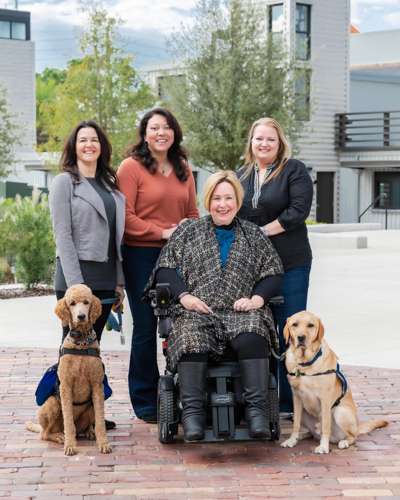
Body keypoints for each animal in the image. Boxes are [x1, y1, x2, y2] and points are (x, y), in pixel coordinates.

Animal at [26, 284, 112, 456]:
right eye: (72, 303)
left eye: (86, 302)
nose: (81, 316)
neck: (81, 343)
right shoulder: (65, 386)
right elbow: (68, 421)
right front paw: (70, 445)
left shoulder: (97, 386)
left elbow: (100, 422)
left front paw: (103, 443)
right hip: (51, 403)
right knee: (45, 433)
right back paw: (59, 436)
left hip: (90, 407)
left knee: (85, 426)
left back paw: (89, 432)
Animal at [280, 311, 388, 454]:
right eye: (294, 325)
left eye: (310, 325)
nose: (301, 337)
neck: (305, 364)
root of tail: (357, 426)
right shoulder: (296, 397)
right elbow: (296, 424)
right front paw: (292, 440)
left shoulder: (325, 398)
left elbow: (326, 425)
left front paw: (323, 447)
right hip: (304, 412)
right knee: (311, 432)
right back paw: (302, 435)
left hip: (340, 412)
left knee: (352, 436)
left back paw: (344, 442)